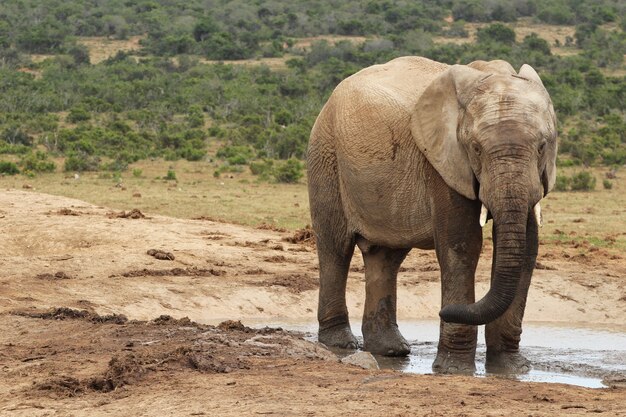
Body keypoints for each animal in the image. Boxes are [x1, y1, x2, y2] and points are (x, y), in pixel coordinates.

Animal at [308, 56, 556, 374]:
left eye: (542, 146)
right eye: (476, 148)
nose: (442, 311)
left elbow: (527, 250)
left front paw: (512, 370)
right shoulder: (442, 162)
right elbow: (462, 246)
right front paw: (454, 370)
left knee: (385, 257)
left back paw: (390, 350)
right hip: (325, 153)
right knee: (336, 248)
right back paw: (341, 344)